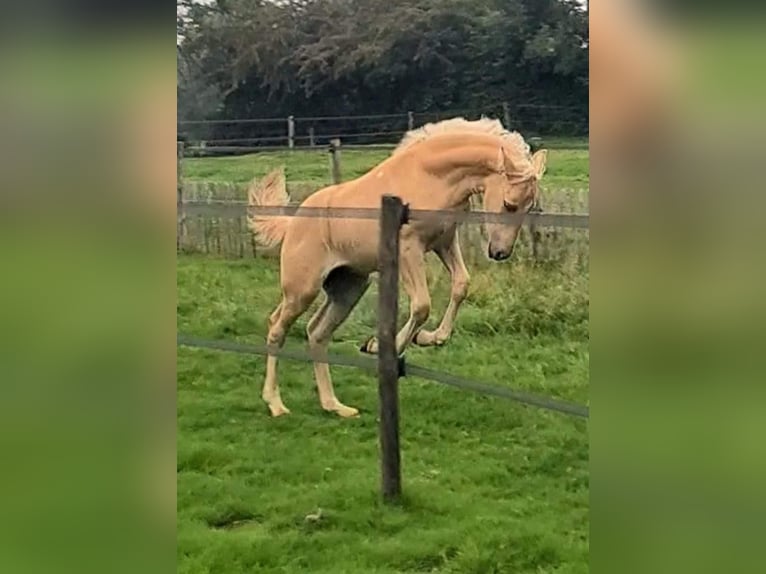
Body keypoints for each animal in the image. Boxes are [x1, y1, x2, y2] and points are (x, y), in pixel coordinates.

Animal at [248, 119, 544, 420]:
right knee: (277, 328)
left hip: (349, 288)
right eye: (509, 204)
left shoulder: (444, 242)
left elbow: (461, 285)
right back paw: (275, 403)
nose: (500, 253)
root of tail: (292, 223)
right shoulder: (409, 249)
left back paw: (335, 406)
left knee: (317, 333)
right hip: (302, 290)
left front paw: (429, 338)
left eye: (531, 207)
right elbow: (422, 305)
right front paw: (379, 346)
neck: (429, 175)